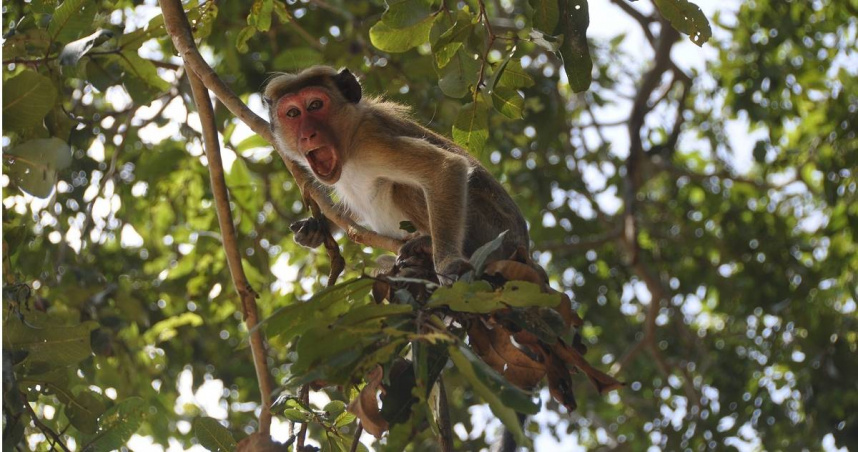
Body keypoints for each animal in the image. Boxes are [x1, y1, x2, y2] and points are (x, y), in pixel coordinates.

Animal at [260, 65, 528, 284]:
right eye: (293, 113)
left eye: (315, 105)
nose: (307, 135)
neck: (348, 144)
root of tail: (523, 249)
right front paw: (317, 226)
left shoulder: (372, 142)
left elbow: (445, 167)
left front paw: (448, 263)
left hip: (493, 236)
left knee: (405, 187)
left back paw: (428, 246)